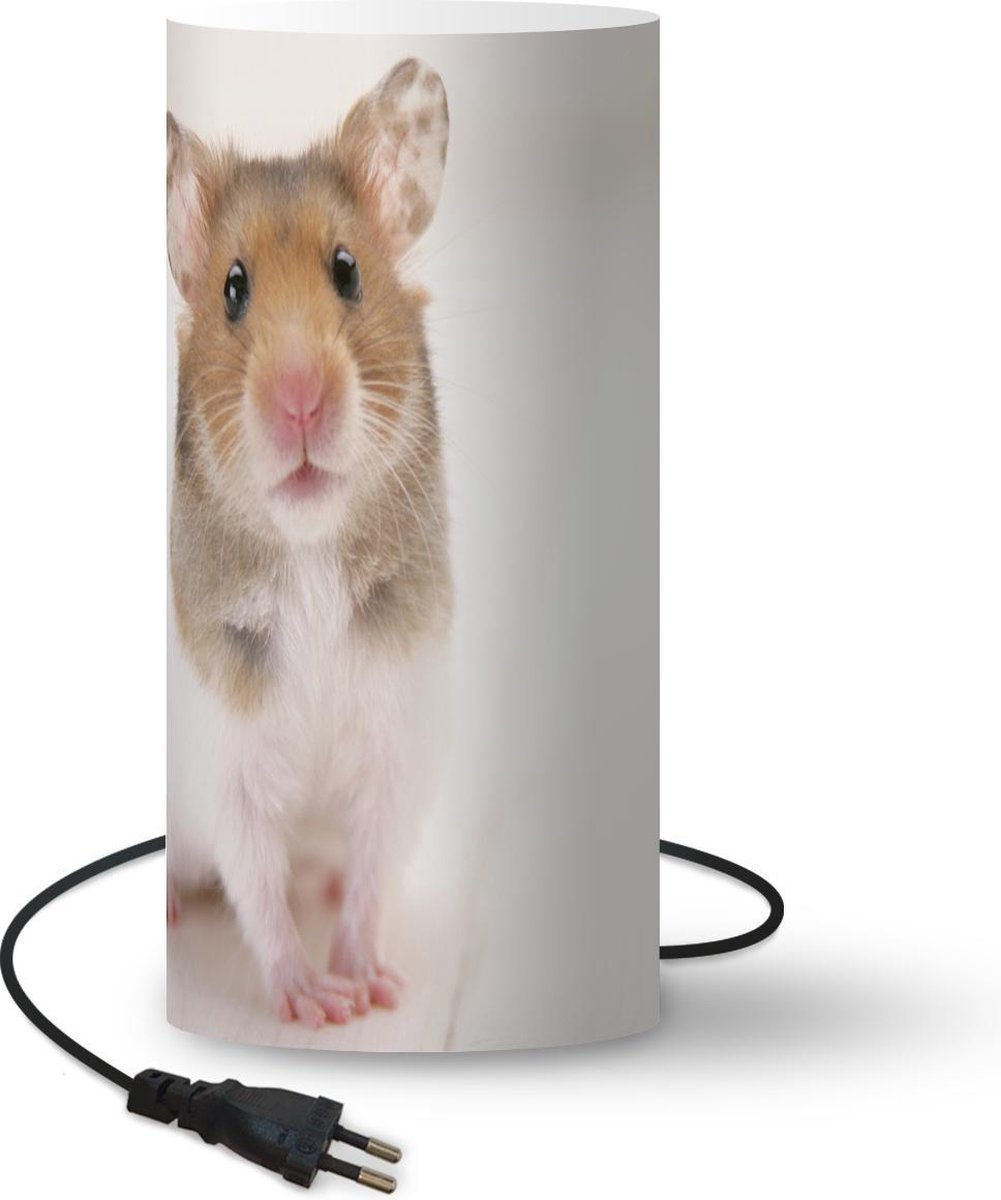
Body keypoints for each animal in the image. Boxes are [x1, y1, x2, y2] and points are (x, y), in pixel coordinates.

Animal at [165, 59, 452, 1027]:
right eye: (233, 288)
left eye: (347, 270)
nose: (297, 399)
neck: (310, 555)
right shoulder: (229, 770)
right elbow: (257, 886)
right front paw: (313, 1004)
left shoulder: (398, 744)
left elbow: (371, 870)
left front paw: (369, 988)